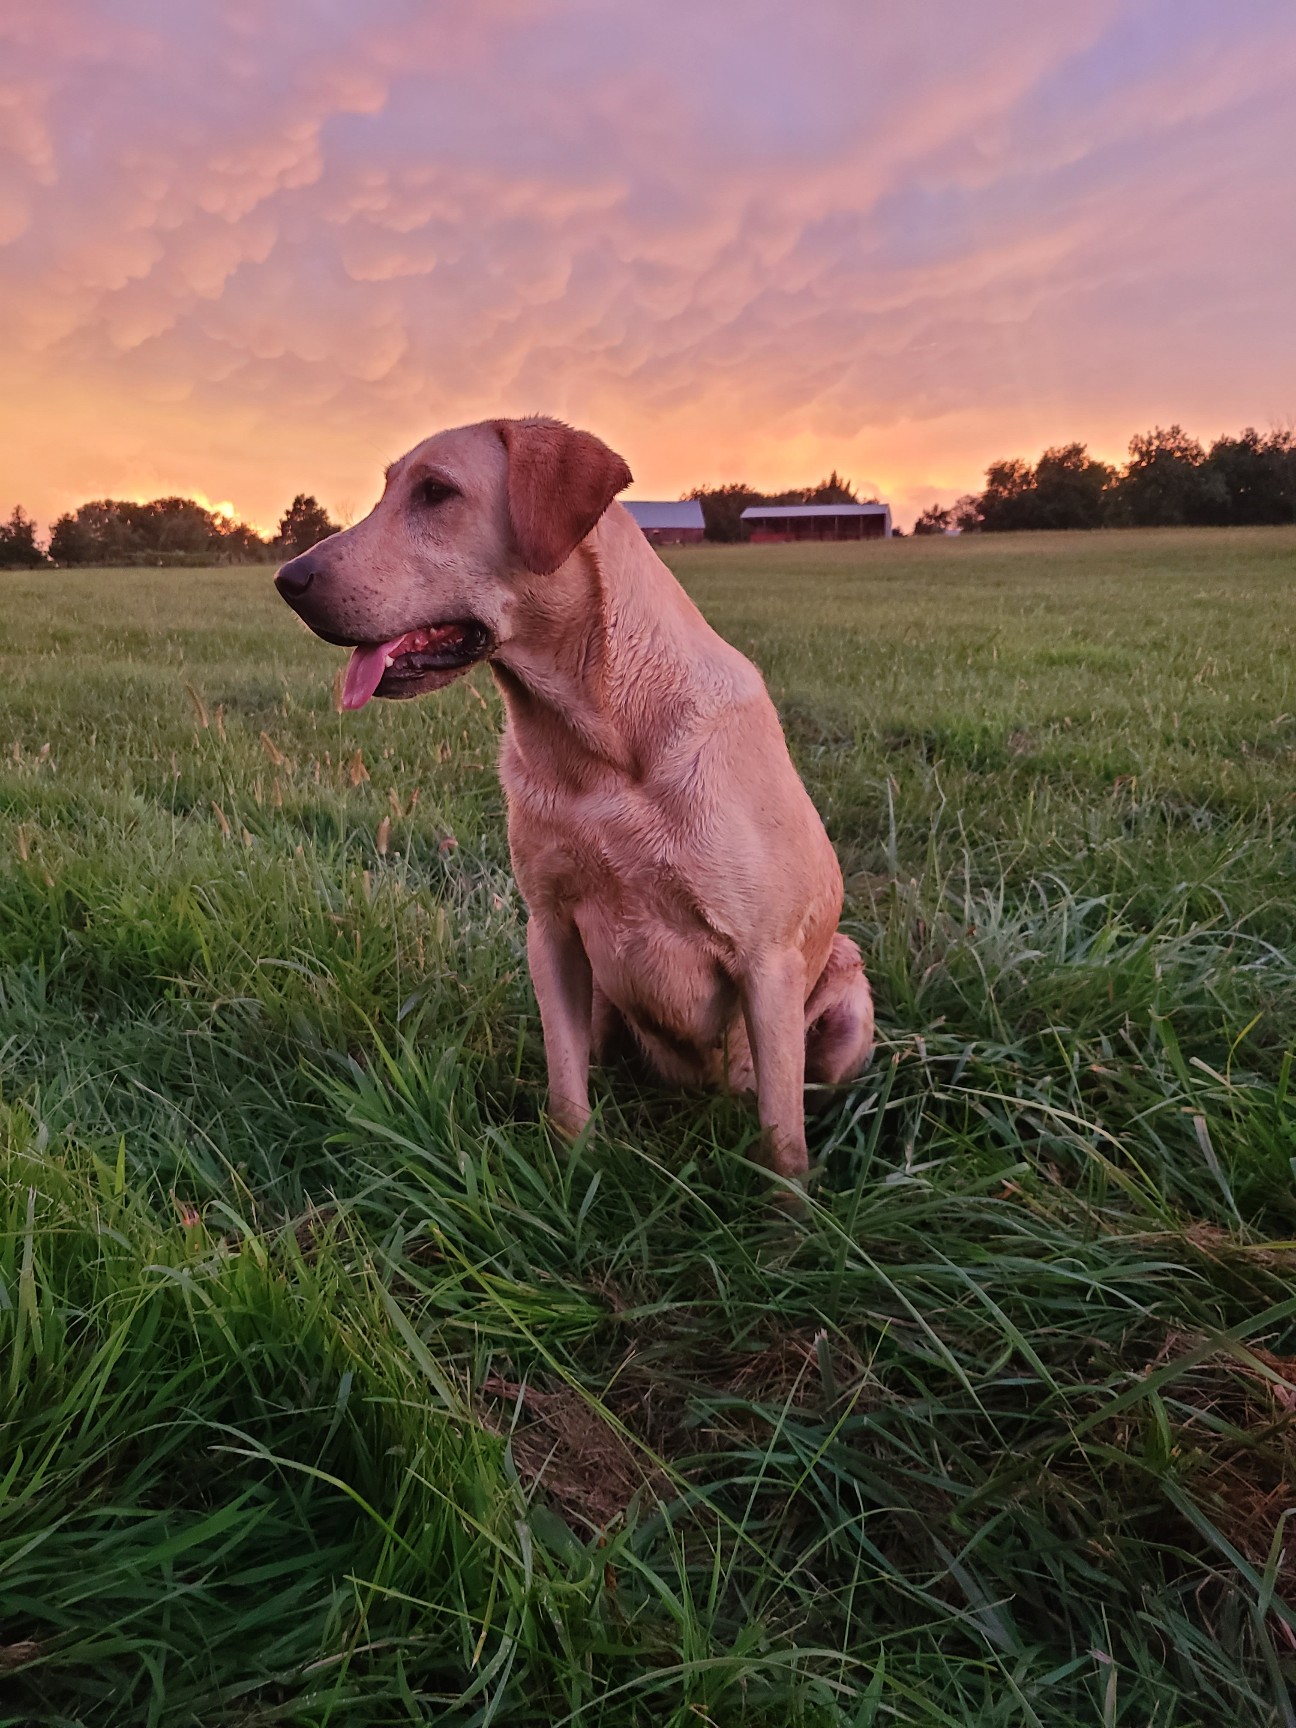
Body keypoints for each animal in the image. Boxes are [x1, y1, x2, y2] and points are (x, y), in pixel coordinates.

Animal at [278, 414, 877, 1175]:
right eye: (388, 491)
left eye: (436, 492)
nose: (286, 578)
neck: (602, 748)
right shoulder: (553, 931)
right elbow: (566, 1089)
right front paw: (571, 1173)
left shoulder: (765, 963)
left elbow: (782, 1139)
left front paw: (787, 1208)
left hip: (848, 992)